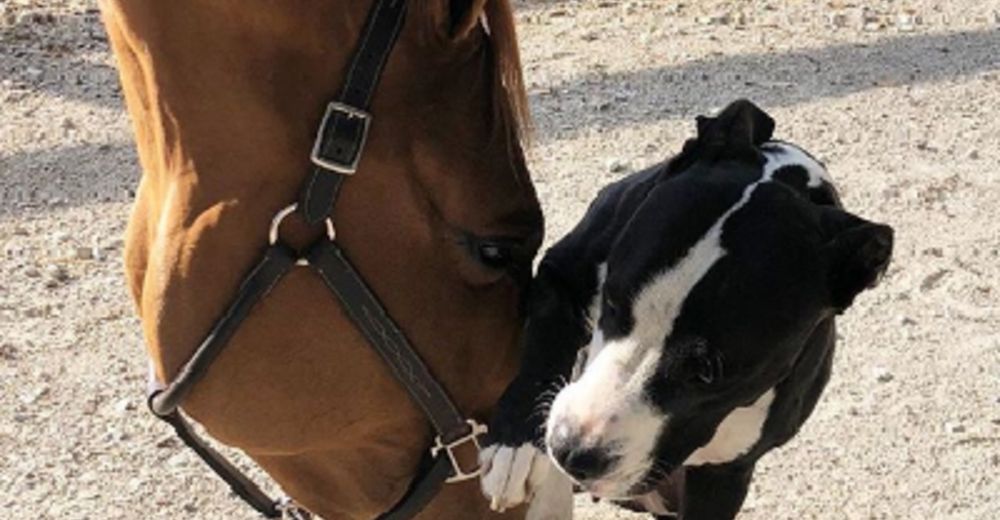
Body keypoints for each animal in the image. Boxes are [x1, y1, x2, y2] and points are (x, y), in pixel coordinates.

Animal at [480, 99, 896, 516]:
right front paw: (513, 448)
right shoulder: (562, 274)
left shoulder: (726, 472)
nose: (572, 451)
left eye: (709, 372)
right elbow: (545, 345)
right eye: (612, 302)